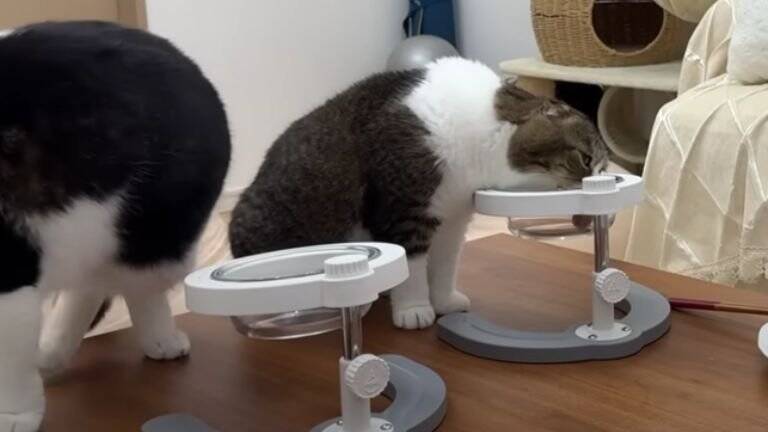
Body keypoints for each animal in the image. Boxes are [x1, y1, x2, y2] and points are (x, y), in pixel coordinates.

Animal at [0, 21, 230, 431]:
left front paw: (12, 414)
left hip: (150, 238)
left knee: (131, 287)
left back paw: (161, 341)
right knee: (88, 285)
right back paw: (51, 351)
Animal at [229, 57, 607, 331]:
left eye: (602, 168)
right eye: (585, 160)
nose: (598, 181)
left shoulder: (453, 216)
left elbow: (445, 264)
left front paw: (443, 302)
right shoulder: (404, 210)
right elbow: (411, 265)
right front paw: (413, 309)